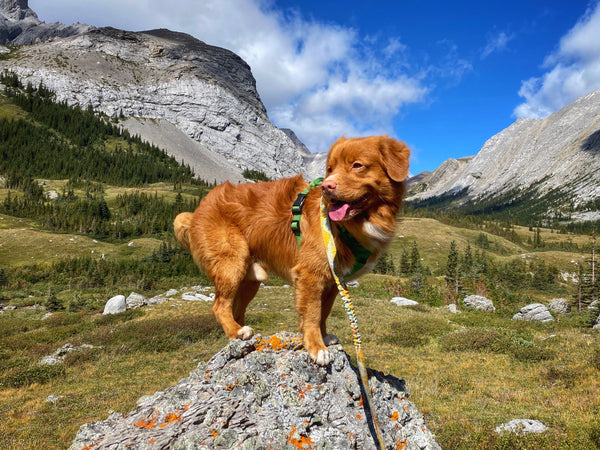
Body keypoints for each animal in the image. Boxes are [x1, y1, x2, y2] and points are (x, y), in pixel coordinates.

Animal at [173, 134, 408, 366]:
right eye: (330, 169)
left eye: (357, 165)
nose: (326, 187)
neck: (349, 226)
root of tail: (197, 211)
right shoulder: (310, 275)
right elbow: (312, 313)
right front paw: (316, 348)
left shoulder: (333, 280)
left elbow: (324, 312)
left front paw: (324, 337)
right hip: (231, 264)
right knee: (220, 305)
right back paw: (237, 332)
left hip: (250, 280)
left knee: (236, 309)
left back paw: (240, 336)